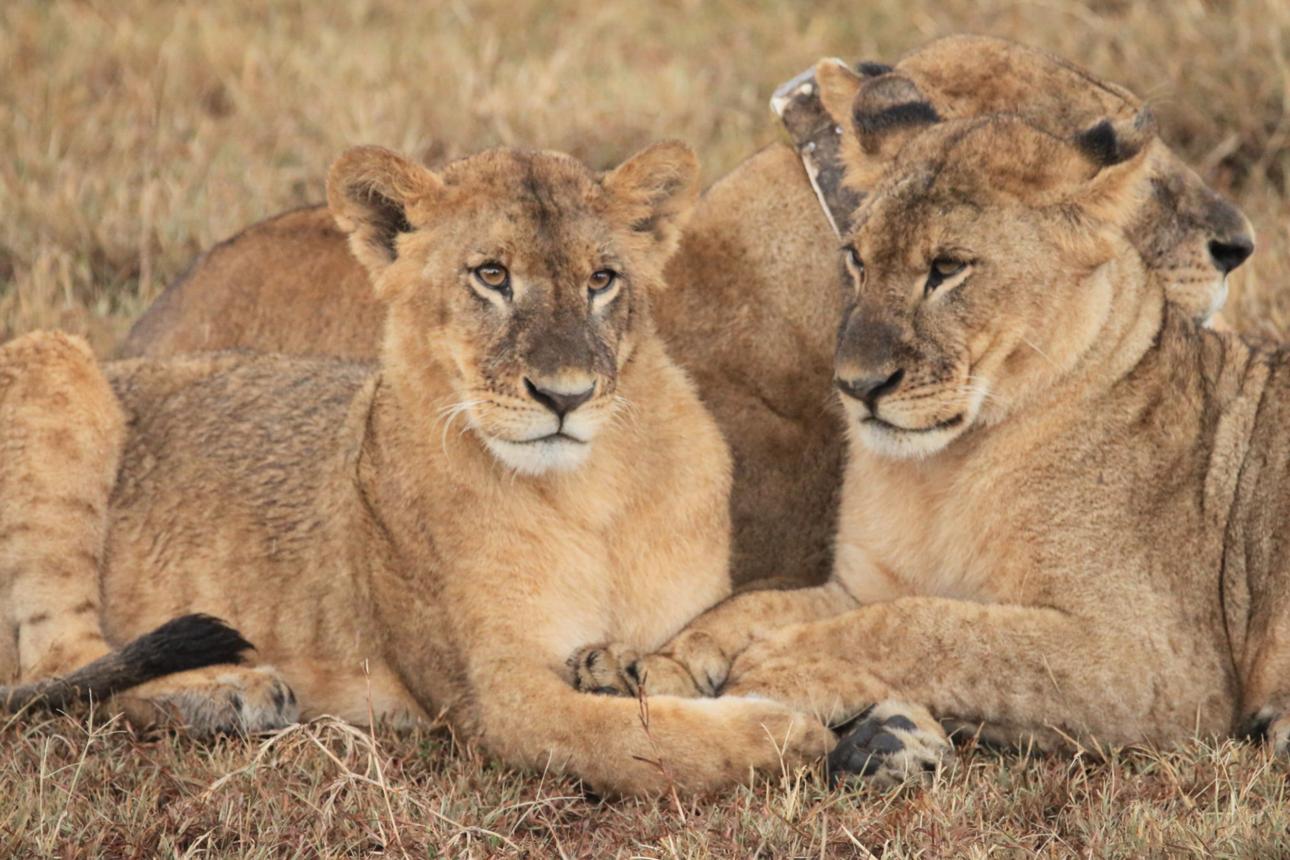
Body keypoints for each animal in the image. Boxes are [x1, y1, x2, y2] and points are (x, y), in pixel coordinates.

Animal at [0, 142, 835, 796]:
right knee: (65, 663)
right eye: (491, 275)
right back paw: (229, 689)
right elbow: (641, 744)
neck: (588, 493)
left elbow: (696, 649)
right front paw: (788, 736)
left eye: (602, 280)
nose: (565, 396)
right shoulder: (493, 700)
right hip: (52, 353)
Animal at [576, 110, 1290, 786]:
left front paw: (776, 668)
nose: (857, 386)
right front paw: (642, 667)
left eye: (947, 269)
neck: (944, 468)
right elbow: (747, 607)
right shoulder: (862, 584)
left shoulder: (1159, 662)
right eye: (857, 260)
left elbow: (937, 631)